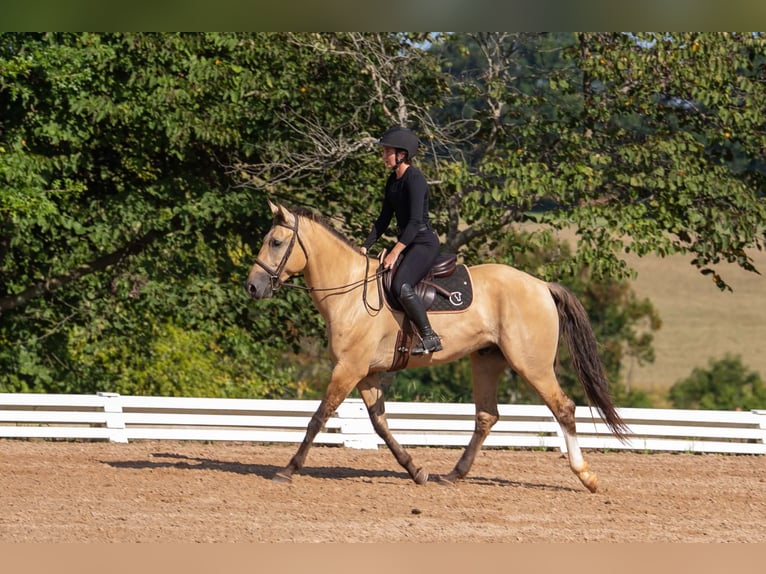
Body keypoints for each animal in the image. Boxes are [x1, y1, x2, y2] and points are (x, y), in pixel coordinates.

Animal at [245, 201, 629, 492]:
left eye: (276, 242)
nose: (252, 287)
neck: (350, 292)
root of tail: (541, 285)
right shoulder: (366, 373)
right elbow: (380, 424)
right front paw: (416, 470)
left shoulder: (348, 369)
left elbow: (318, 417)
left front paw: (288, 469)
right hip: (487, 360)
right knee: (486, 416)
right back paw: (453, 475)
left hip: (531, 364)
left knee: (563, 408)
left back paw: (586, 476)